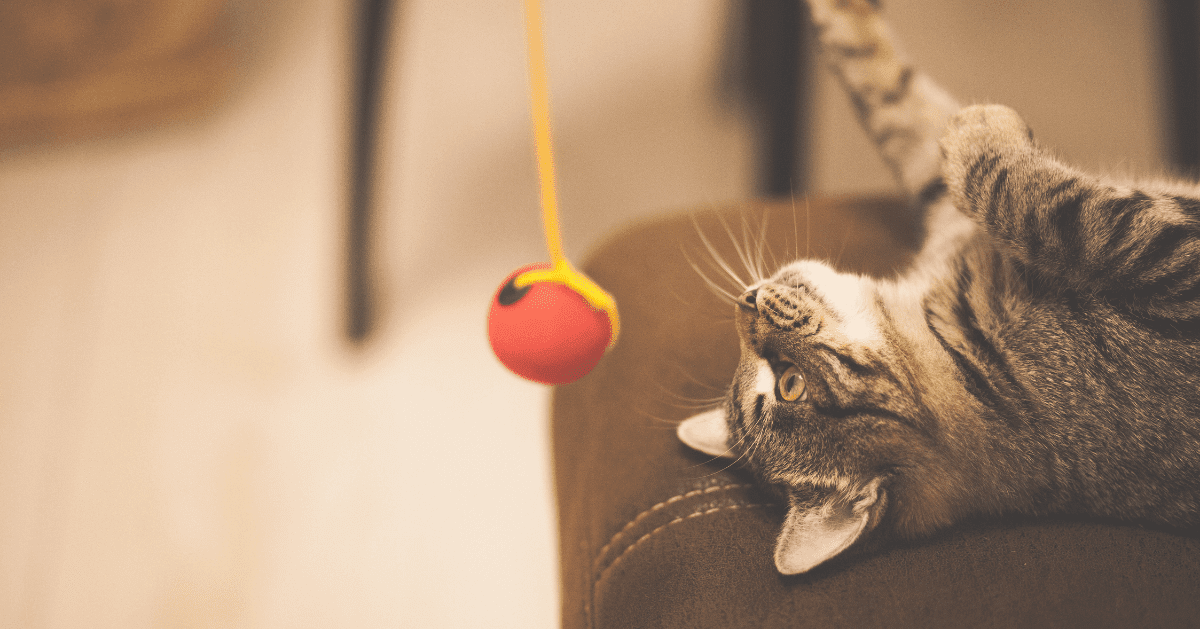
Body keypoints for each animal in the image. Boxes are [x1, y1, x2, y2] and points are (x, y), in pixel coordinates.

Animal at [681, 0, 1200, 571]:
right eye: (790, 384)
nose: (745, 302)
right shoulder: (1167, 261)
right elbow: (1024, 197)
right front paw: (982, 128)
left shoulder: (943, 205)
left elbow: (887, 95)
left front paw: (840, 14)